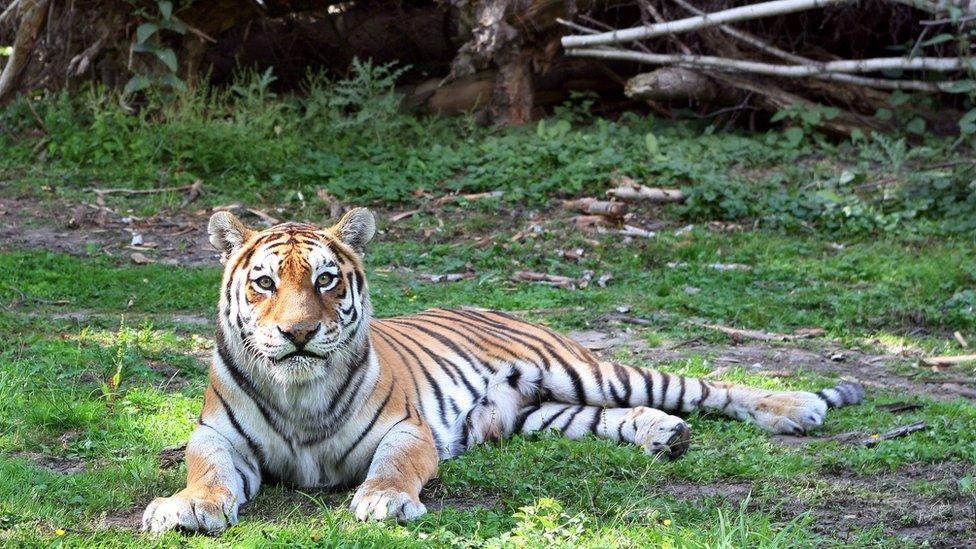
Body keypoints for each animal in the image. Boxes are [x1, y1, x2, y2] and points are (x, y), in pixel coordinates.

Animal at [142, 207, 864, 533]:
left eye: (325, 280)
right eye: (264, 282)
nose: (297, 333)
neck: (298, 393)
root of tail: (499, 306)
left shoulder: (407, 430)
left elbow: (391, 467)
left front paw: (383, 499)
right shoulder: (217, 436)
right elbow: (208, 472)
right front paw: (187, 506)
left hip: (589, 370)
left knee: (704, 385)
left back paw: (797, 407)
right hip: (548, 413)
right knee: (620, 417)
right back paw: (666, 435)